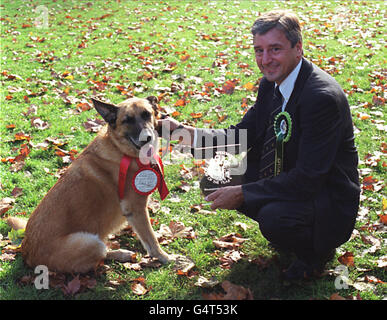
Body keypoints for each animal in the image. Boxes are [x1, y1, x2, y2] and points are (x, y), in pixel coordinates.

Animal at [7, 95, 174, 272]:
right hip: (92, 243)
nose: (147, 137)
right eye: (127, 120)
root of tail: (26, 252)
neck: (119, 149)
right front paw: (165, 257)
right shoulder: (136, 209)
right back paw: (121, 254)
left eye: (146, 114)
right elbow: (151, 238)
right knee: (101, 255)